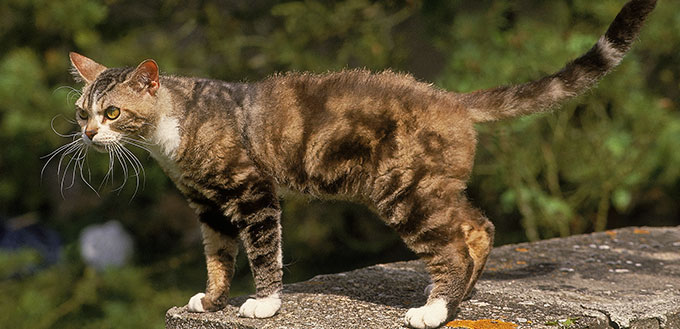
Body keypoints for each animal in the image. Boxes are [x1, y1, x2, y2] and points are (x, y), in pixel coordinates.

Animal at [59, 1, 660, 326]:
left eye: (113, 112)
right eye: (82, 110)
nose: (87, 133)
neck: (174, 135)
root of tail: (451, 98)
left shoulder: (252, 193)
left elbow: (263, 252)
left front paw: (263, 305)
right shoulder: (207, 206)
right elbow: (217, 257)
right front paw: (211, 301)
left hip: (404, 191)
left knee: (453, 241)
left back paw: (433, 310)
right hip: (433, 187)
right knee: (479, 226)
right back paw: (458, 300)